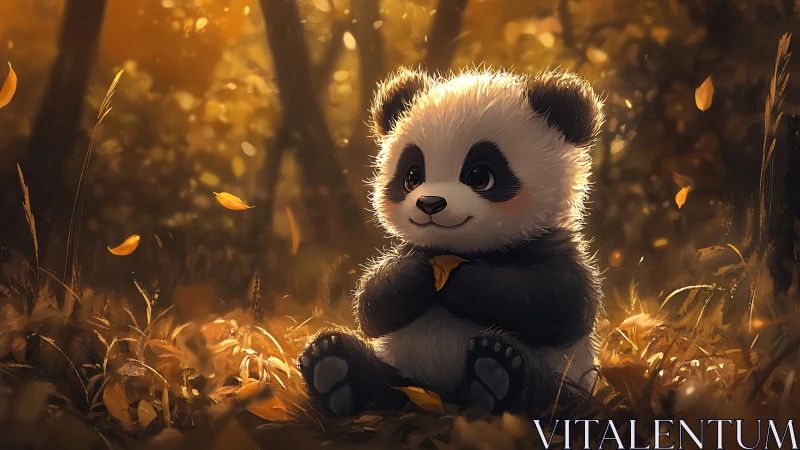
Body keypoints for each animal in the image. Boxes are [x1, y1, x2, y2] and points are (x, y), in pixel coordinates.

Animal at [297, 67, 604, 416]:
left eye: (480, 176)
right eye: (412, 176)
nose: (429, 204)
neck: (455, 248)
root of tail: (442, 395)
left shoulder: (551, 244)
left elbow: (562, 302)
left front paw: (461, 280)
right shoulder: (412, 248)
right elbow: (372, 305)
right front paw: (416, 274)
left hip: (572, 378)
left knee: (547, 393)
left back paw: (496, 373)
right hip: (402, 370)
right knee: (380, 380)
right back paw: (333, 367)